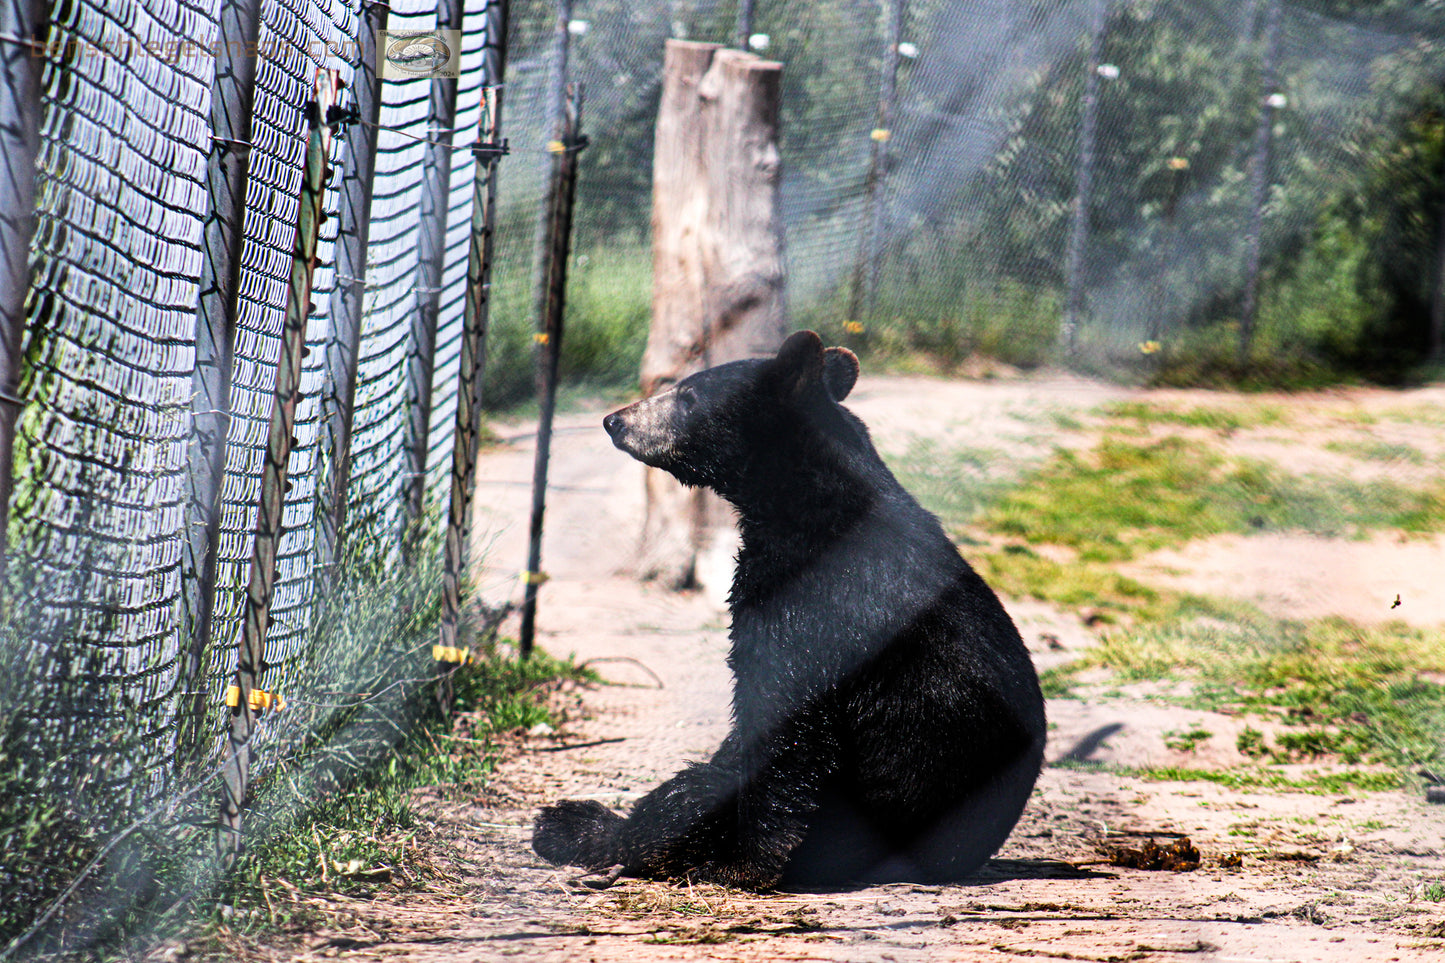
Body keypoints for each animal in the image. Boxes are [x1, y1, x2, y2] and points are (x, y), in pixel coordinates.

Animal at [531, 328, 1040, 884]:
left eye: (687, 395)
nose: (615, 420)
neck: (803, 499)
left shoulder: (813, 592)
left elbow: (785, 712)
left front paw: (746, 861)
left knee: (689, 793)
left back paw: (575, 827)